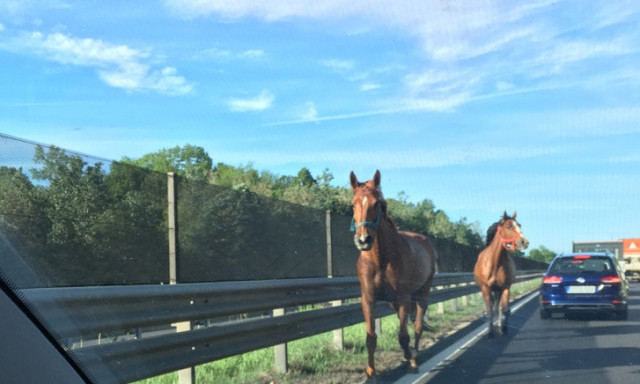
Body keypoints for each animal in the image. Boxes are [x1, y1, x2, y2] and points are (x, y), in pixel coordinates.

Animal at [348, 170, 438, 376]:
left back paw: (414, 355)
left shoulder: (404, 299)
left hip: (422, 293)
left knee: (417, 326)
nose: (363, 240)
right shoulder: (368, 299)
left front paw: (411, 359)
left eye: (377, 203)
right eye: (353, 204)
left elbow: (403, 335)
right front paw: (371, 372)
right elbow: (371, 337)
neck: (381, 259)